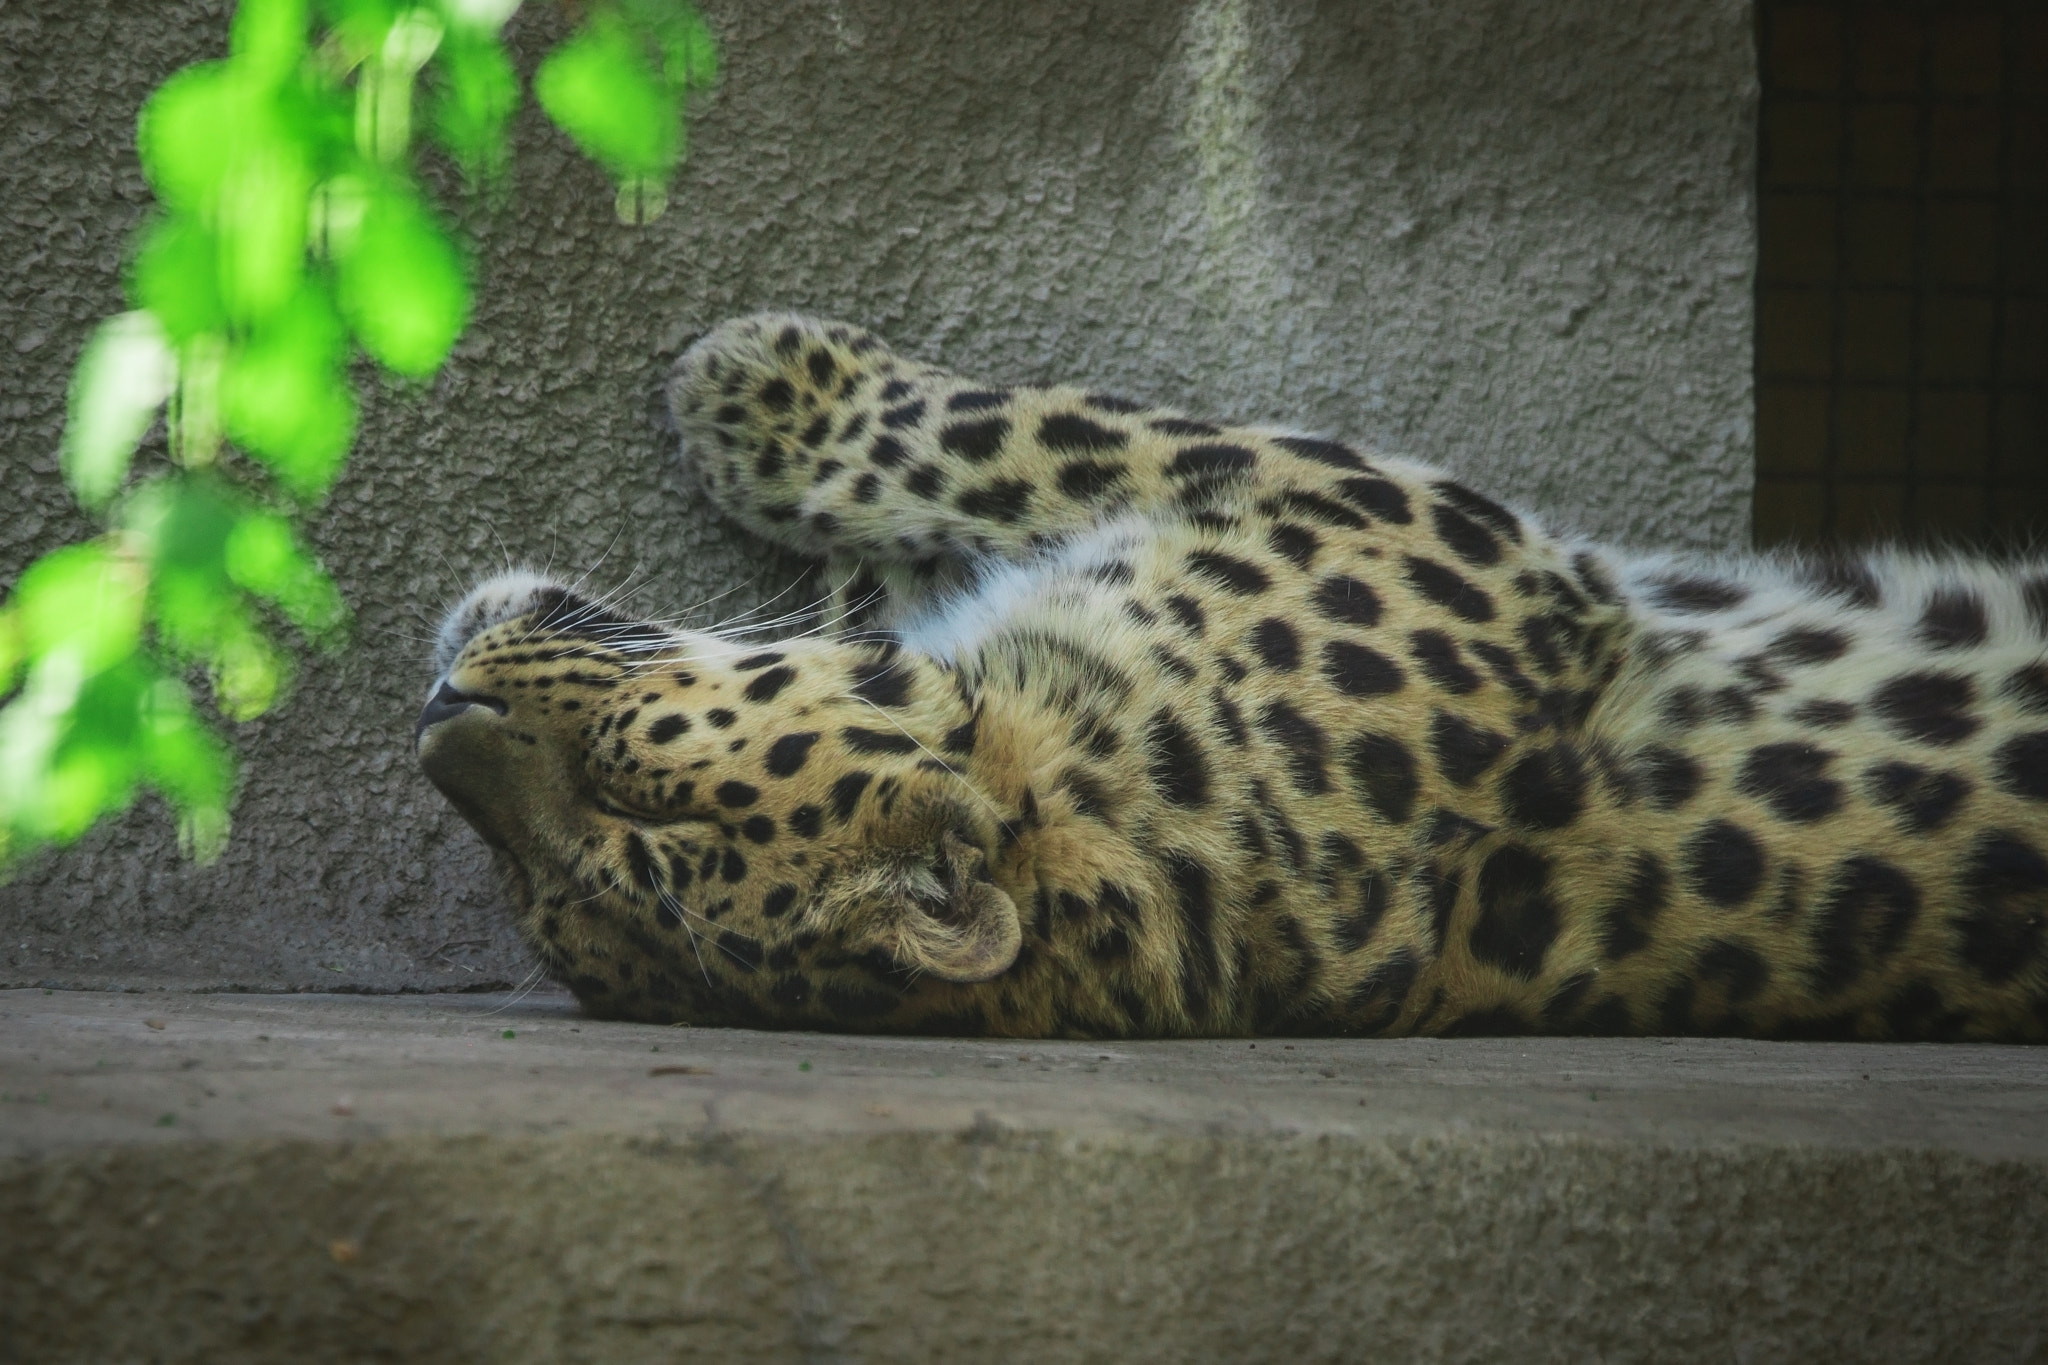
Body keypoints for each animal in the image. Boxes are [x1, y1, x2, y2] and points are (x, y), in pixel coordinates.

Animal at [415, 315, 2048, 1039]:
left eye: (626, 794)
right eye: (542, 893)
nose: (437, 717)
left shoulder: (1412, 519)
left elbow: (1036, 431)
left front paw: (759, 383)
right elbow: (1037, 445)